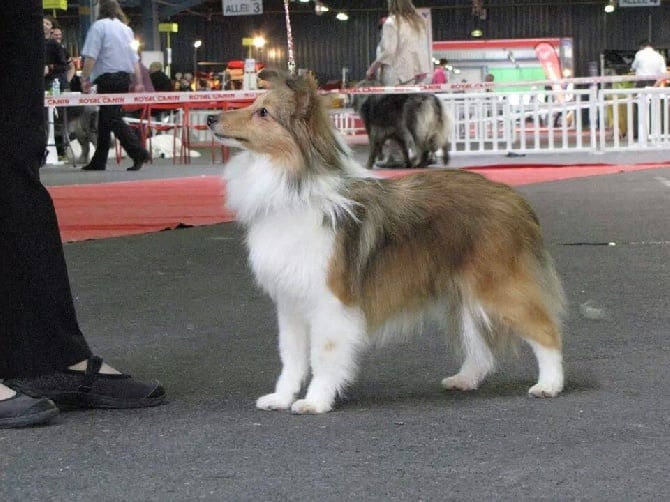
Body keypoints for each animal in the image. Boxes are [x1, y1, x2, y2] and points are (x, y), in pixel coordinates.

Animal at [210, 71, 568, 416]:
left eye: (263, 113)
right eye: (254, 103)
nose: (212, 117)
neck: (294, 187)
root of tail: (515, 199)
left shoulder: (329, 302)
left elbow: (323, 356)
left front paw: (315, 402)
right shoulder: (291, 303)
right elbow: (292, 358)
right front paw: (281, 398)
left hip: (499, 287)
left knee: (547, 332)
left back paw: (549, 384)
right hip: (464, 292)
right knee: (480, 345)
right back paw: (465, 379)